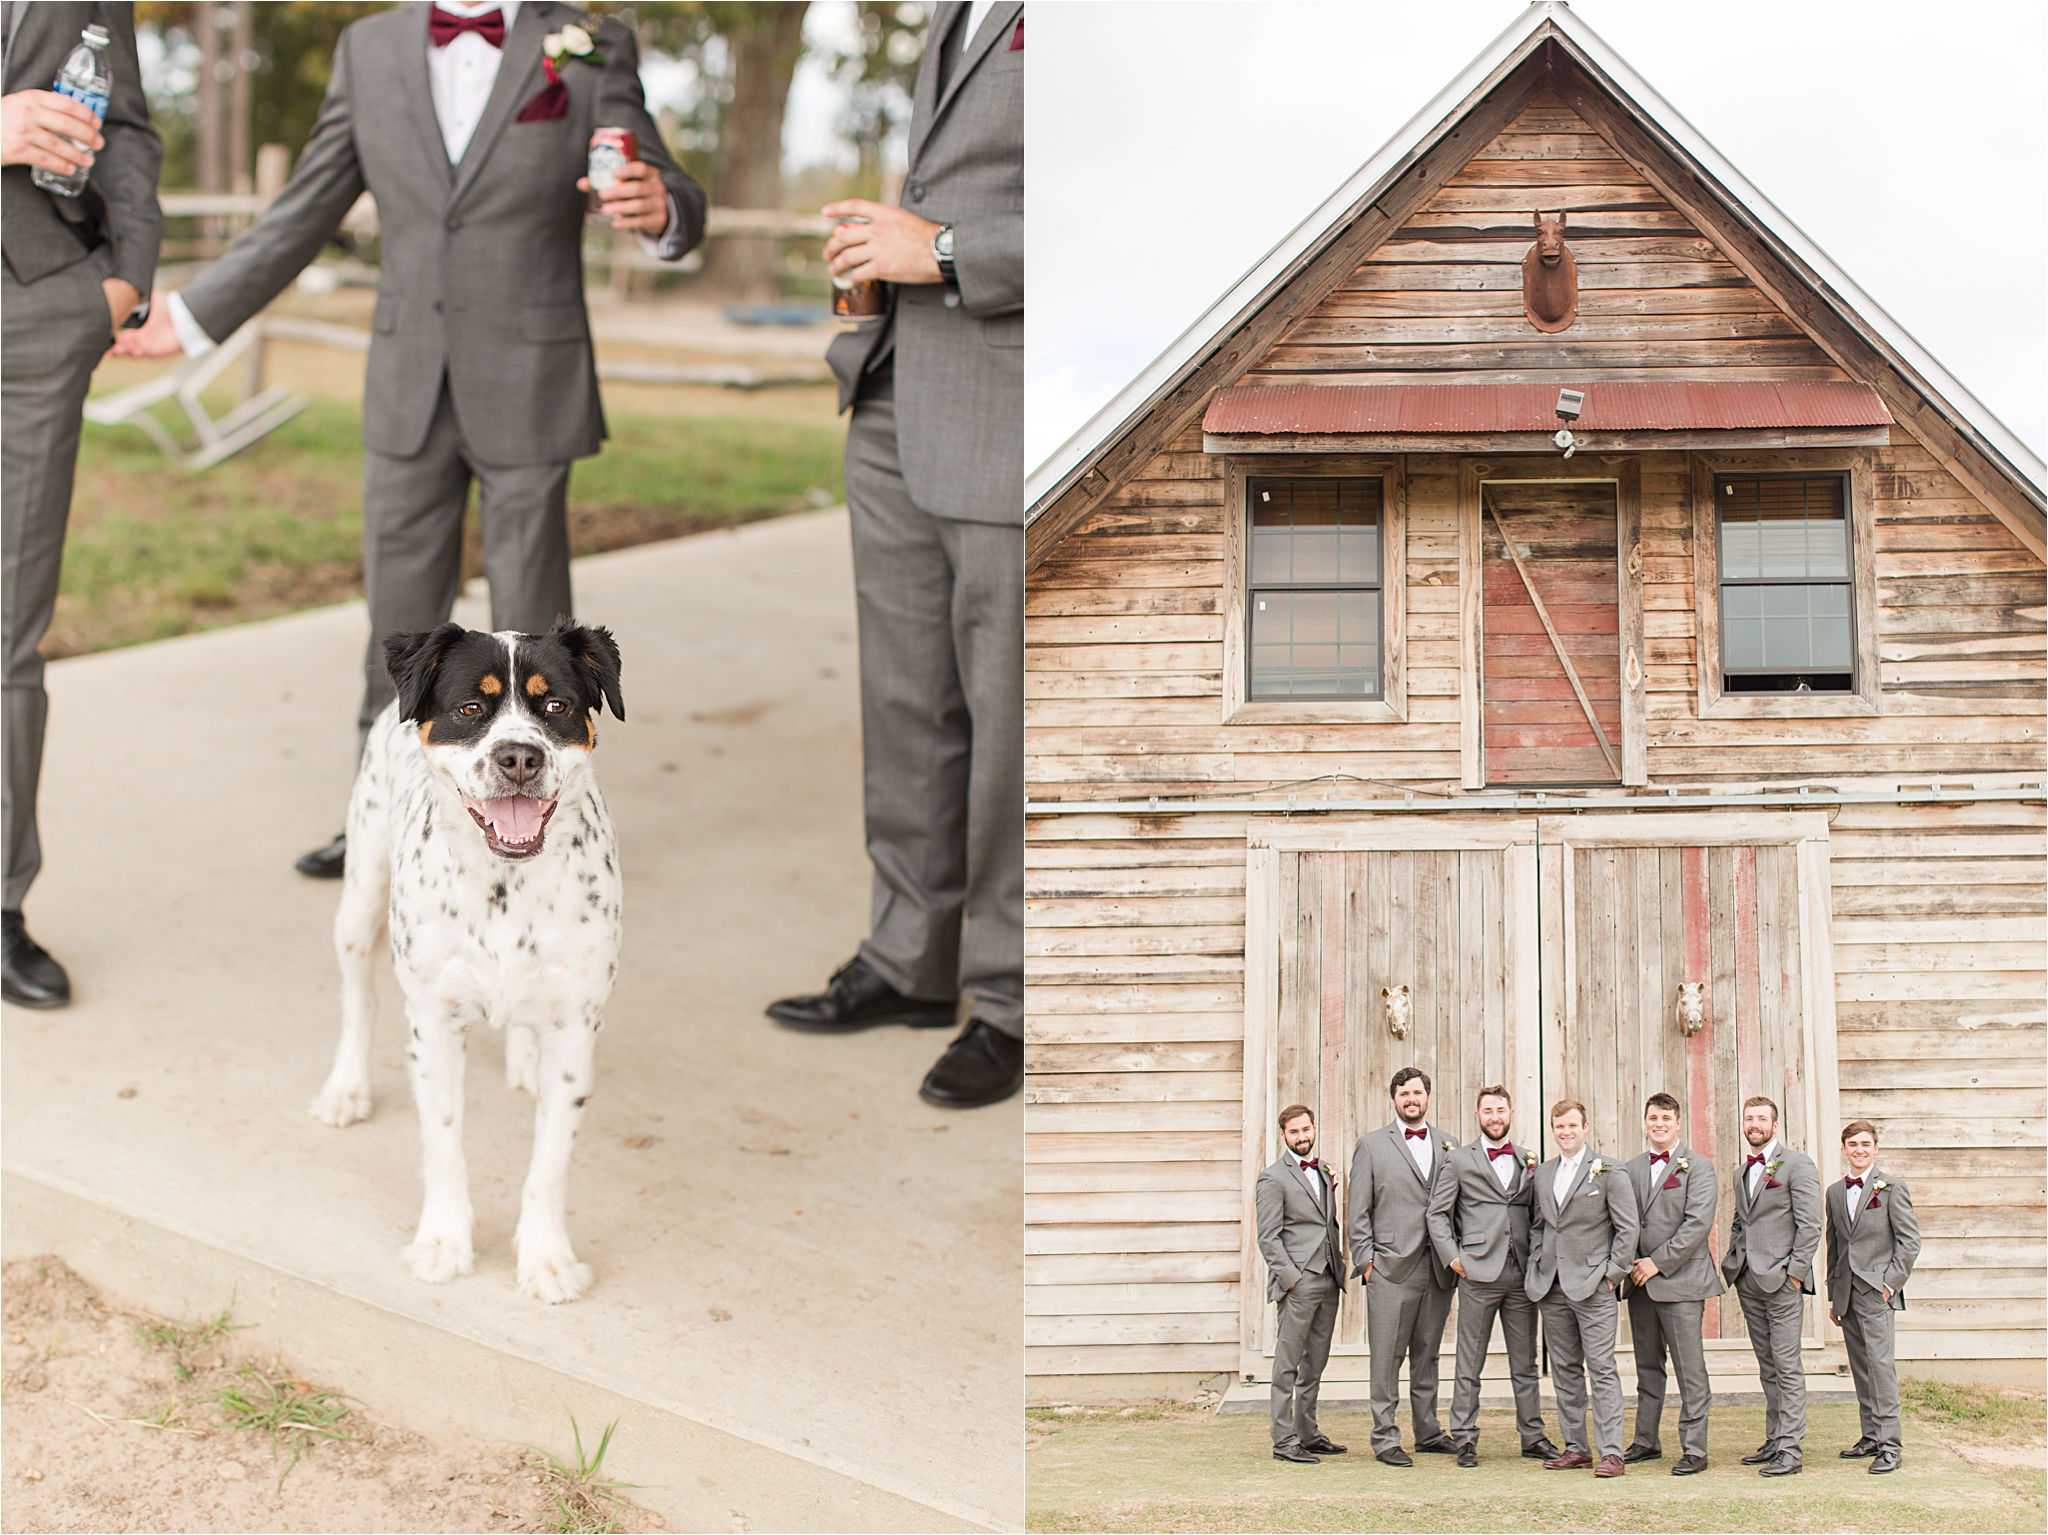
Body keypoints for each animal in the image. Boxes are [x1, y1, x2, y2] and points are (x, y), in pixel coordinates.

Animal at [309, 618, 622, 1301]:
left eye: (556, 707)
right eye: (470, 709)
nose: (520, 757)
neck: (507, 880)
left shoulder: (576, 1030)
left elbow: (549, 1163)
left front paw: (547, 1258)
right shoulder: (435, 1023)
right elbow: (445, 1146)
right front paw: (443, 1244)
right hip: (359, 901)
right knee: (358, 999)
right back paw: (346, 1088)